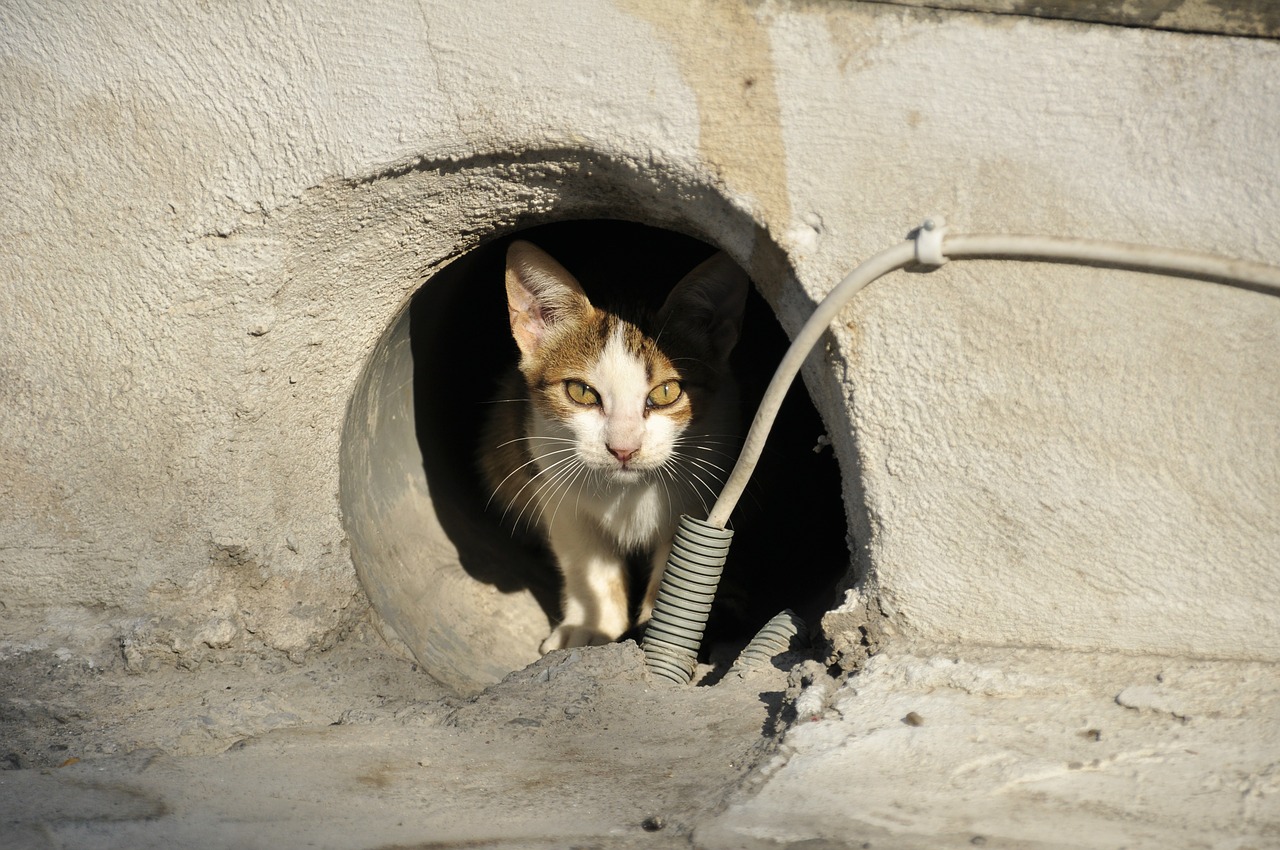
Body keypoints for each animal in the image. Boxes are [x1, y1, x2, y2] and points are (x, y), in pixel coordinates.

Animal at [483, 241, 752, 652]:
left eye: (667, 392)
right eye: (580, 391)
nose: (623, 449)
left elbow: (683, 563)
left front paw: (661, 630)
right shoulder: (549, 476)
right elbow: (586, 558)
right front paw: (593, 625)